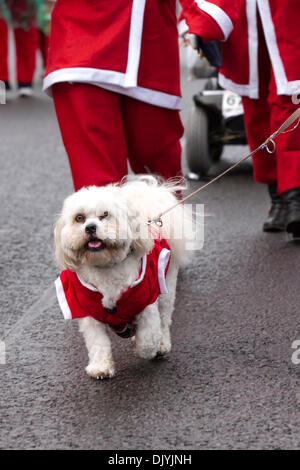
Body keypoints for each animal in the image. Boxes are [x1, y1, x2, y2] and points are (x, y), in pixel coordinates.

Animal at [54, 175, 195, 378]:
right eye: (79, 218)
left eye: (105, 215)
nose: (90, 228)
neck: (107, 267)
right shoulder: (88, 312)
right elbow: (98, 343)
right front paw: (101, 367)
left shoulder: (146, 301)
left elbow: (148, 339)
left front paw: (145, 348)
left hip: (166, 287)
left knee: (164, 319)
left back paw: (162, 345)